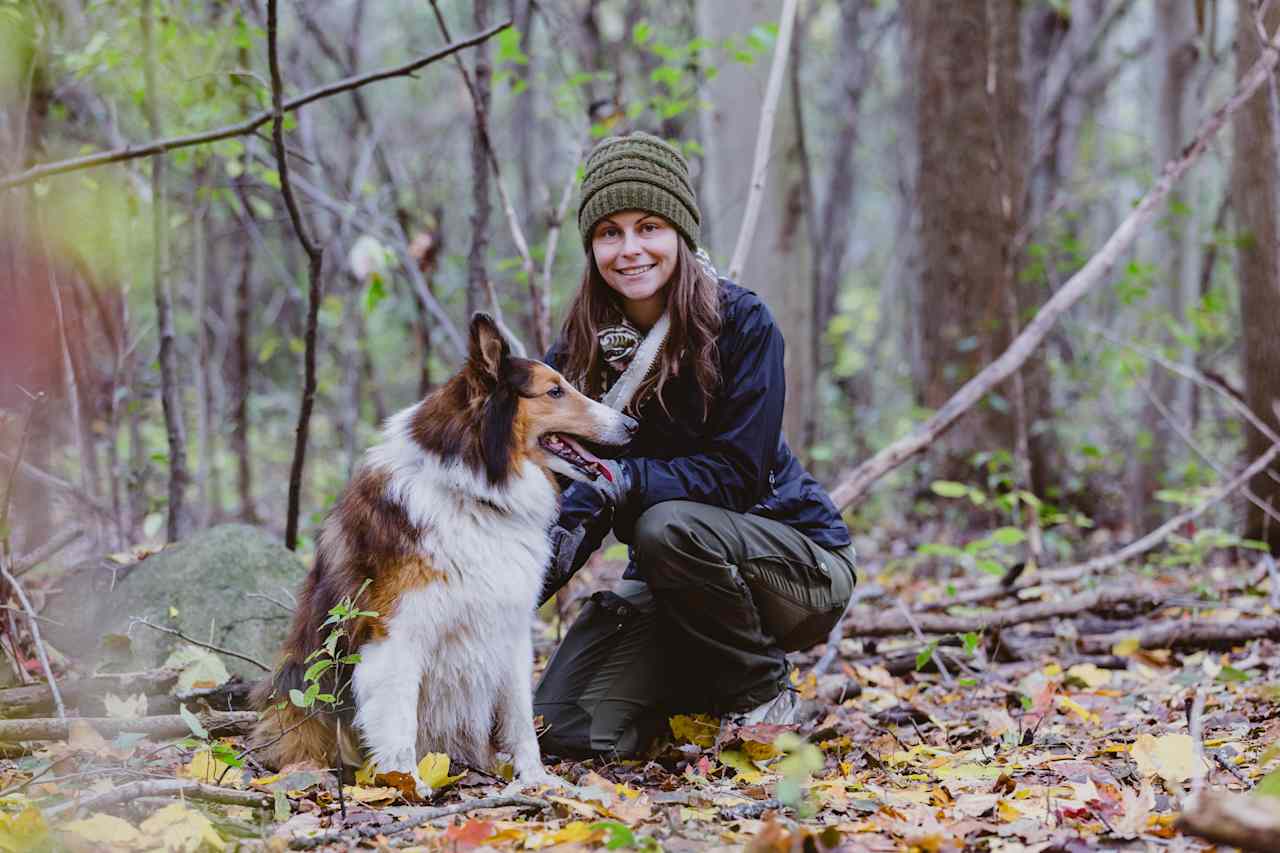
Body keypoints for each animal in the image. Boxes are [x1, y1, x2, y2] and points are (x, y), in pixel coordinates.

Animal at [256, 311, 640, 788]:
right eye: (554, 391)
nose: (633, 426)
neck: (474, 493)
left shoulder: (511, 626)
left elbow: (519, 714)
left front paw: (536, 779)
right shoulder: (396, 633)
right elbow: (398, 716)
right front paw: (404, 785)